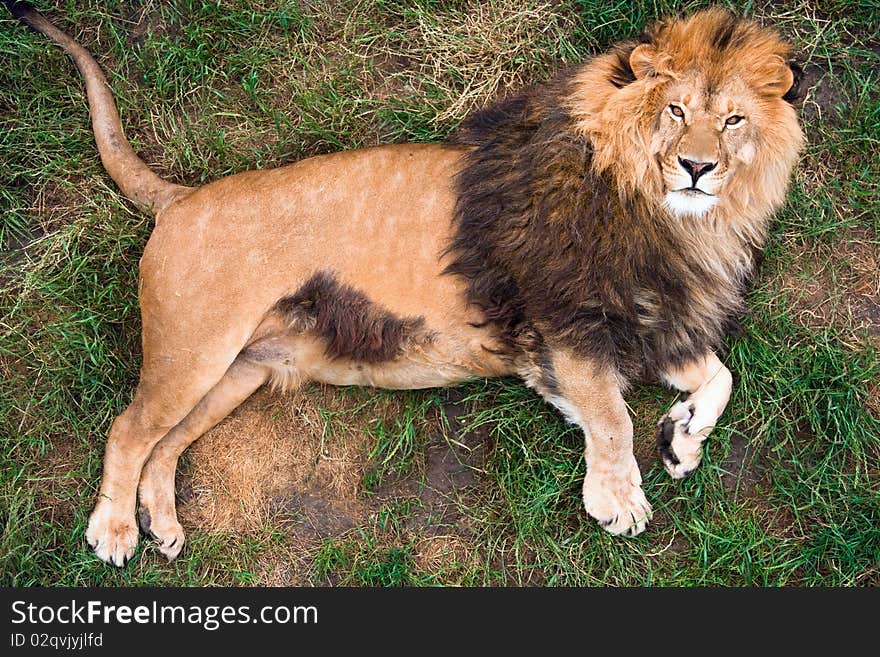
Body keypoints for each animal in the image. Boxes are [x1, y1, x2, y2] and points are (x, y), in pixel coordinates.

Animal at [5, 0, 804, 568]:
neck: (674, 219)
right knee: (128, 429)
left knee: (165, 443)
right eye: (675, 110)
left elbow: (719, 376)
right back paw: (114, 531)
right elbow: (611, 418)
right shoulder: (563, 323)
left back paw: (163, 523)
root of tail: (179, 199)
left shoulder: (647, 320)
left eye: (734, 120)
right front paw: (619, 499)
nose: (698, 167)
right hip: (192, 348)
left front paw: (682, 440)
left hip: (239, 371)